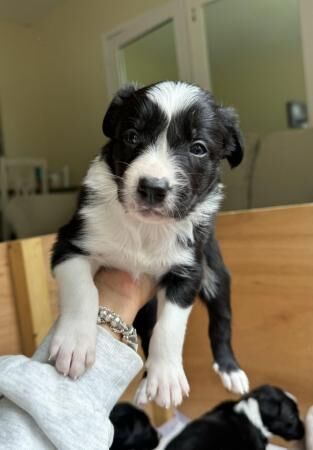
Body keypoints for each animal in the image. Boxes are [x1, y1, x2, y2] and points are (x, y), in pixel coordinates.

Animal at [50, 81, 247, 408]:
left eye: (198, 148)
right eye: (132, 136)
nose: (153, 188)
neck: (145, 229)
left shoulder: (187, 271)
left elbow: (169, 329)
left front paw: (166, 377)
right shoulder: (70, 243)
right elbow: (84, 292)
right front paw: (75, 343)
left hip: (215, 273)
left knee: (221, 322)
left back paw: (230, 369)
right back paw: (144, 385)